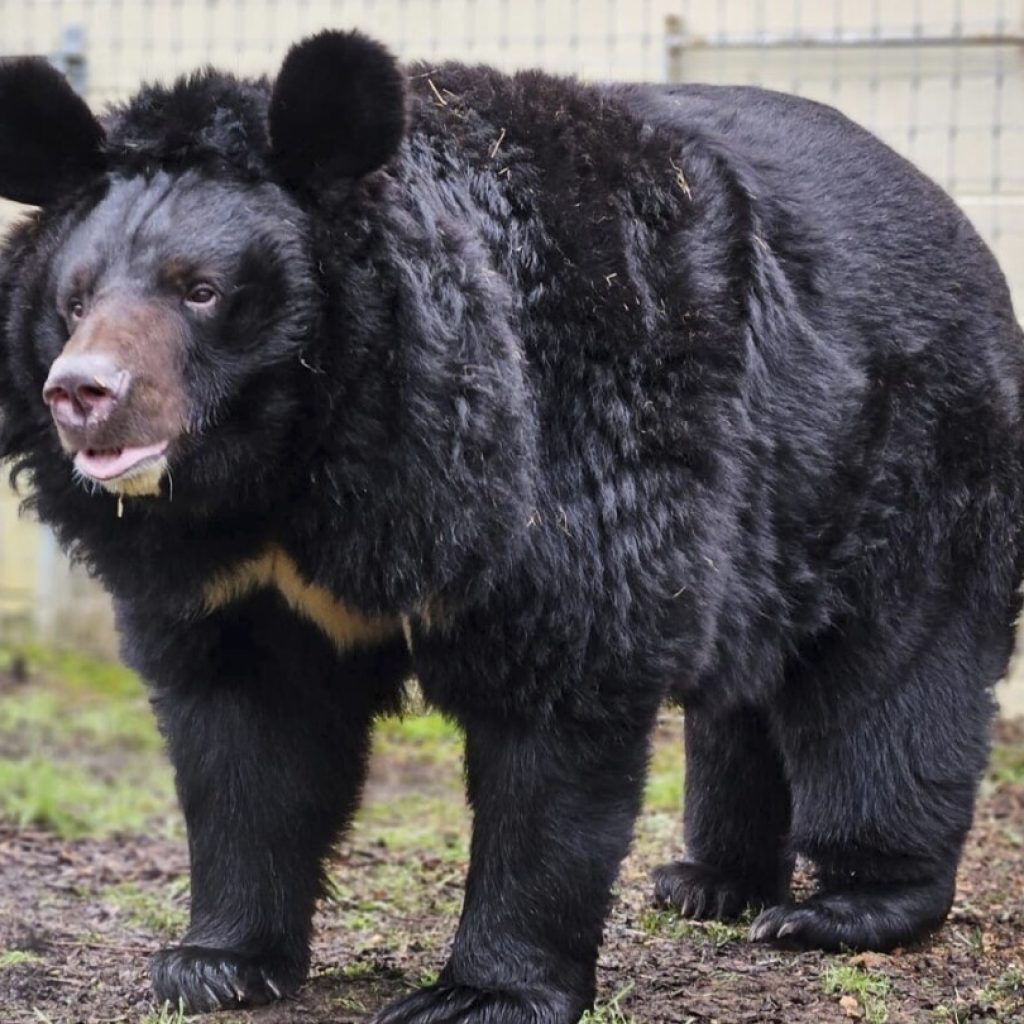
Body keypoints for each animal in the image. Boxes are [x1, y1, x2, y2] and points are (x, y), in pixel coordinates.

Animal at [2, 28, 1024, 1019]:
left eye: (201, 290)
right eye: (76, 298)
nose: (81, 394)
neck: (297, 469)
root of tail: (959, 224)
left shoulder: (568, 459)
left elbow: (558, 715)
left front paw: (479, 993)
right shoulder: (234, 580)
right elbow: (248, 737)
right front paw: (213, 965)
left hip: (912, 459)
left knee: (888, 688)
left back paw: (847, 905)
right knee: (744, 692)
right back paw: (709, 881)